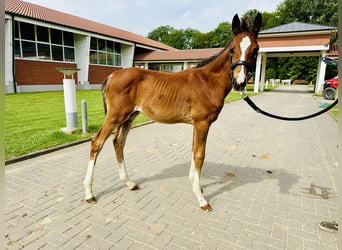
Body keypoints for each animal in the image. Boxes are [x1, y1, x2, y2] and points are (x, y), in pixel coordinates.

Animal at [84, 13, 260, 211]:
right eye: (232, 49)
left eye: (256, 49)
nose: (240, 82)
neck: (208, 81)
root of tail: (112, 75)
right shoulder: (203, 122)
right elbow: (200, 155)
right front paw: (201, 198)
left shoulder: (197, 124)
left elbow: (194, 150)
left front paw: (195, 185)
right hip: (115, 116)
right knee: (97, 142)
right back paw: (89, 194)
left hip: (129, 116)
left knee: (118, 142)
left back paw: (129, 183)